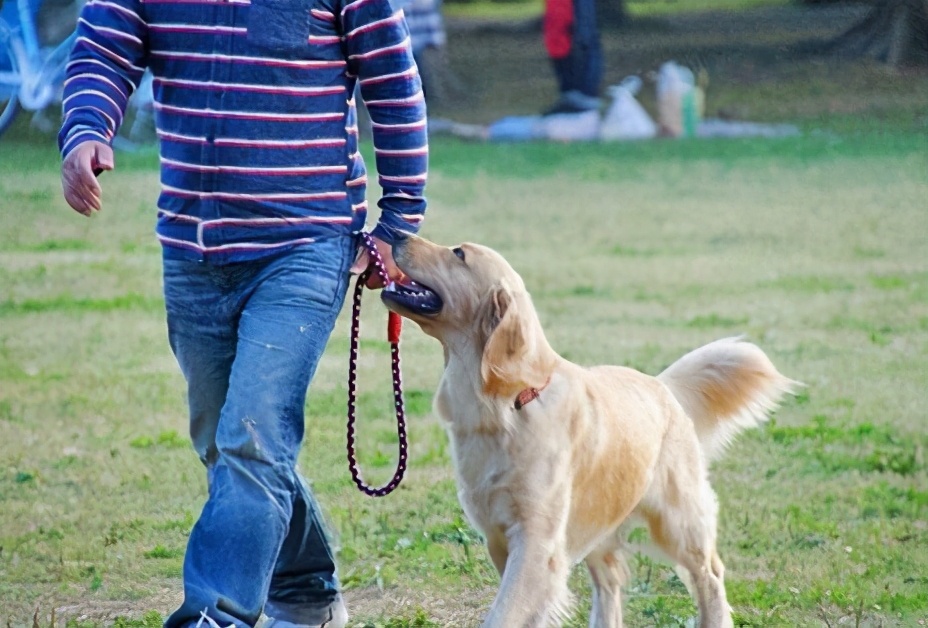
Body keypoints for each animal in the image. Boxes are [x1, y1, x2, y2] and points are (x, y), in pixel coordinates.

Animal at [380, 237, 800, 628]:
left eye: (459, 253)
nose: (396, 234)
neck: (509, 404)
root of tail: (661, 385)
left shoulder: (536, 543)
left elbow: (504, 614)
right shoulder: (501, 539)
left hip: (679, 521)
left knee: (709, 574)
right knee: (610, 581)